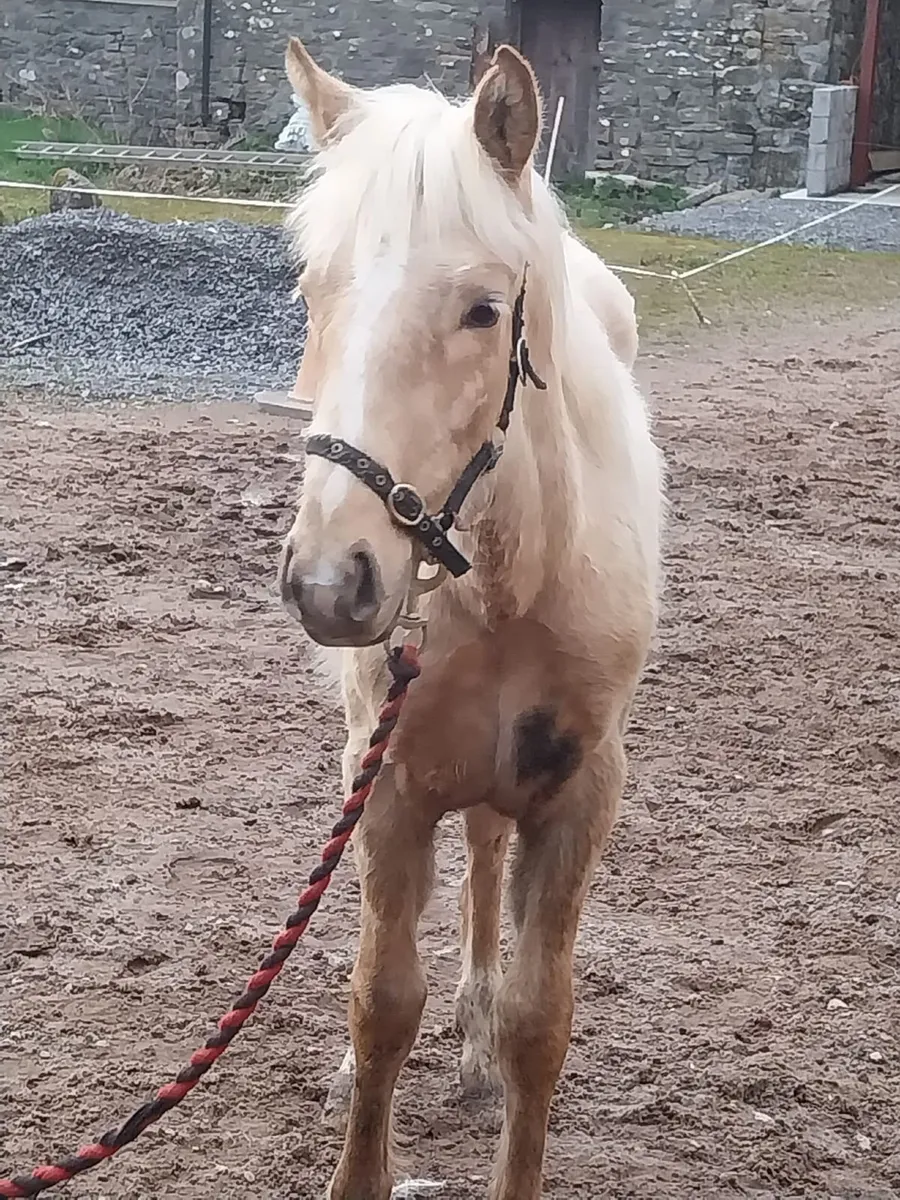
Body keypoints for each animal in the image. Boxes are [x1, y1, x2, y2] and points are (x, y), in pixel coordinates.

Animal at [278, 37, 664, 1200]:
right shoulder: (389, 781)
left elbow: (543, 1022)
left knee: (489, 856)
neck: (506, 585)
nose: (333, 581)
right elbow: (380, 1002)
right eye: (312, 288)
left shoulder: (579, 792)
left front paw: (501, 1042)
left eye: (485, 311)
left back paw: (478, 1028)